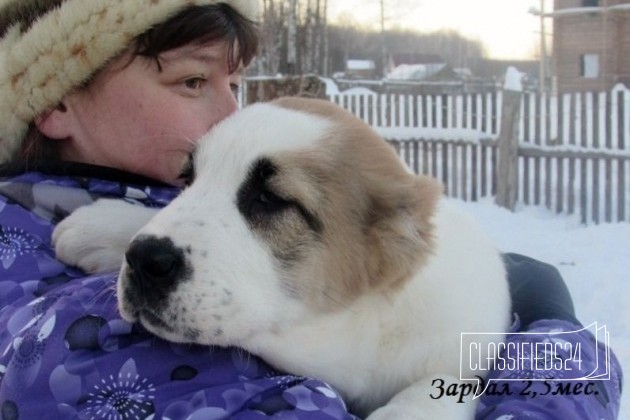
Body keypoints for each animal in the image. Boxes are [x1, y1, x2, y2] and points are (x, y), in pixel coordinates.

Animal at [54, 97, 512, 416]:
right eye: (188, 179)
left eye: (271, 199)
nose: (145, 261)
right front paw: (99, 226)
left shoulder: (459, 355)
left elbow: (434, 388)